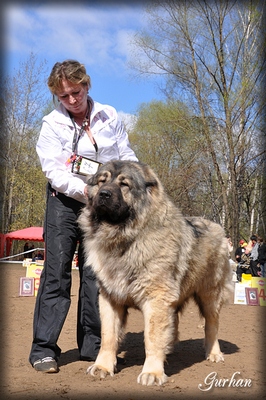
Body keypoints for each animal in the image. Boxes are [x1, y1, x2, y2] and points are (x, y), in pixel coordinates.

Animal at [79, 159, 233, 384]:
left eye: (124, 184)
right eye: (102, 181)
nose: (104, 194)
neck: (125, 239)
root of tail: (218, 228)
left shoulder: (157, 298)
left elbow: (152, 336)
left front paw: (152, 372)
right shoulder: (110, 297)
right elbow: (108, 336)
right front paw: (103, 366)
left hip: (209, 295)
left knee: (211, 325)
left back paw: (213, 353)